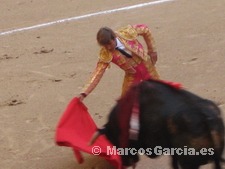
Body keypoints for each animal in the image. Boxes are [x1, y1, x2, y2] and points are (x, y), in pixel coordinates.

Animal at [89, 79, 225, 169]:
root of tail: (205, 118)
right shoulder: (172, 150)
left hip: (189, 162)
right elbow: (173, 162)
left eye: (113, 140)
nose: (126, 163)